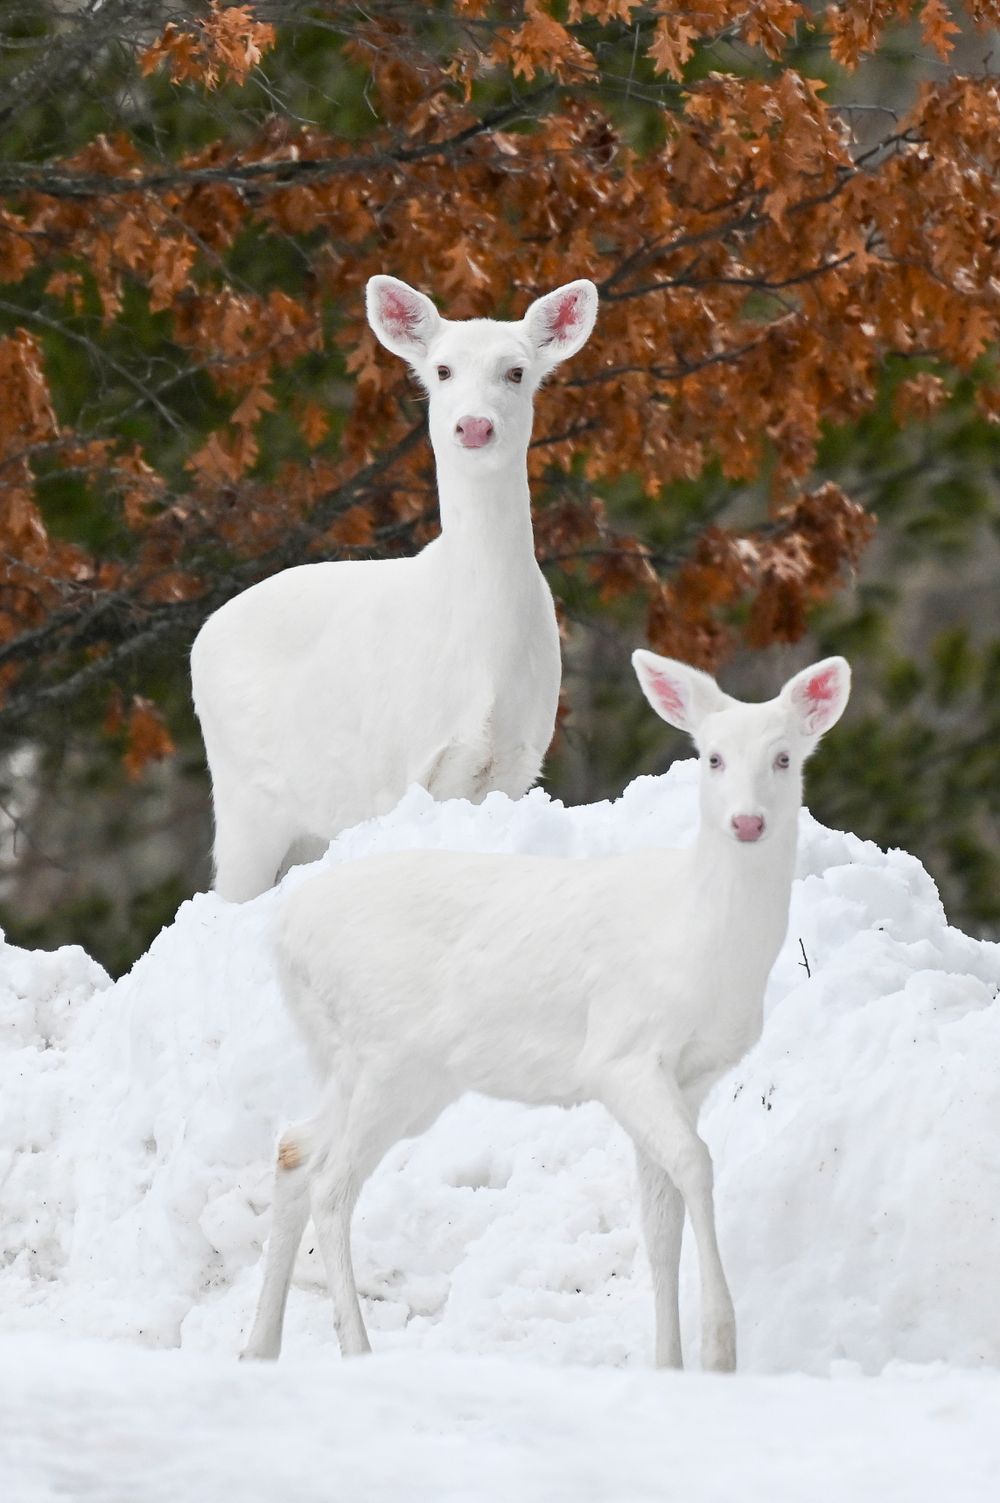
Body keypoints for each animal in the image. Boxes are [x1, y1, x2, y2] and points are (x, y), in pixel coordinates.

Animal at [190, 274, 599, 901]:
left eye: (516, 372)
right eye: (443, 370)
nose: (474, 425)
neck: (484, 647)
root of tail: (199, 639)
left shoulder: (518, 758)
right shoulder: (400, 769)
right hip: (243, 800)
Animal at [241, 650, 851, 1370]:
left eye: (784, 757)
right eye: (713, 757)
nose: (748, 822)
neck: (701, 941)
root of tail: (282, 934)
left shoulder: (691, 1075)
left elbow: (660, 1222)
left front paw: (670, 1364)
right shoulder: (620, 1052)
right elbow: (697, 1165)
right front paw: (720, 1348)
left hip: (376, 1068)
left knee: (295, 1150)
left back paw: (259, 1347)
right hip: (389, 1056)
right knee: (333, 1187)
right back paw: (358, 1350)